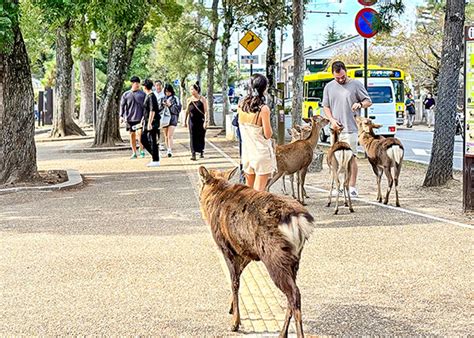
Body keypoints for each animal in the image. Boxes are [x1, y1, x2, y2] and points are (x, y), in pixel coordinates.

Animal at [199, 165, 314, 336]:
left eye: (202, 182)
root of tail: (298, 219)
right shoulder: (247, 251)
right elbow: (239, 276)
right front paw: (231, 308)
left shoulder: (227, 247)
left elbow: (234, 282)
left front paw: (235, 323)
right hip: (295, 258)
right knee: (292, 294)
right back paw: (282, 333)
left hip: (275, 256)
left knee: (294, 294)